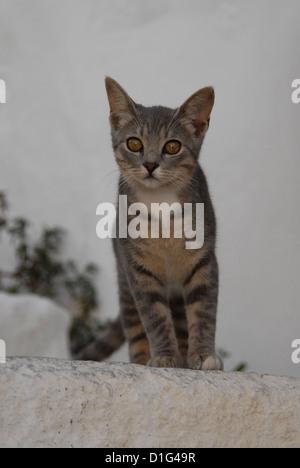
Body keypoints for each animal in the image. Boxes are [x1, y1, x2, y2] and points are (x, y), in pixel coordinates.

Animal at [77, 77, 223, 370]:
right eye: (134, 144)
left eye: (172, 146)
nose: (151, 164)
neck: (161, 208)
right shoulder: (138, 269)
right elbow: (154, 317)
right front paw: (165, 356)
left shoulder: (204, 261)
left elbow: (203, 310)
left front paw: (203, 355)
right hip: (123, 280)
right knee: (135, 325)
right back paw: (142, 359)